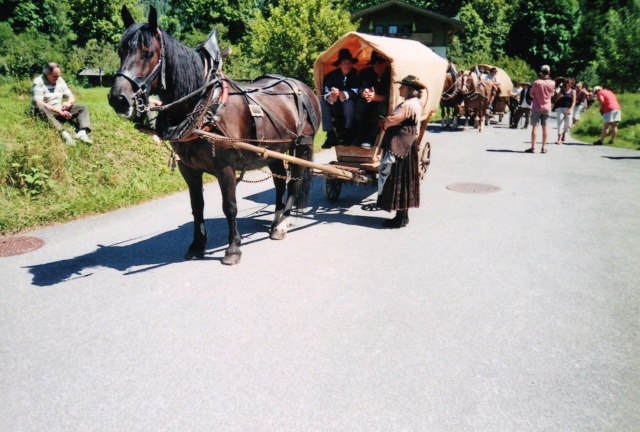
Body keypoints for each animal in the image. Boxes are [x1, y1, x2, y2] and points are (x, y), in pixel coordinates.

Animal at [109, 5, 324, 264]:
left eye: (147, 53)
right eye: (121, 50)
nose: (118, 98)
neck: (205, 105)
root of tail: (302, 87)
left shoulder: (225, 167)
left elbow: (229, 205)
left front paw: (233, 248)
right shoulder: (188, 168)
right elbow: (197, 205)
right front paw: (197, 245)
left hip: (302, 145)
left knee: (294, 183)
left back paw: (282, 223)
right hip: (272, 150)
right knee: (280, 182)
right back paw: (276, 219)